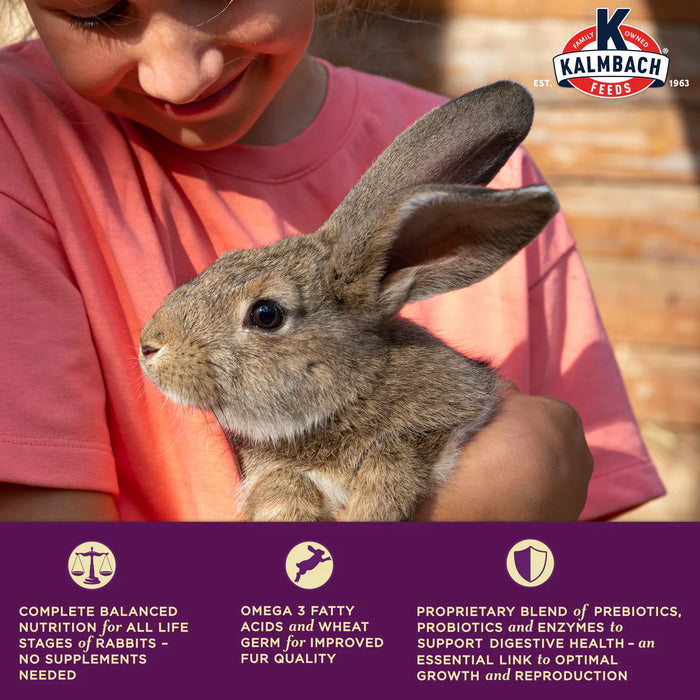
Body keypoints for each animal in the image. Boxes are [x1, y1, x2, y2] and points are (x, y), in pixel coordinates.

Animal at [139, 80, 559, 522]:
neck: (356, 390)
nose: (149, 345)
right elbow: (280, 482)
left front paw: (371, 509)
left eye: (266, 314)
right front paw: (289, 513)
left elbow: (396, 452)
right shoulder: (270, 469)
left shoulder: (446, 421)